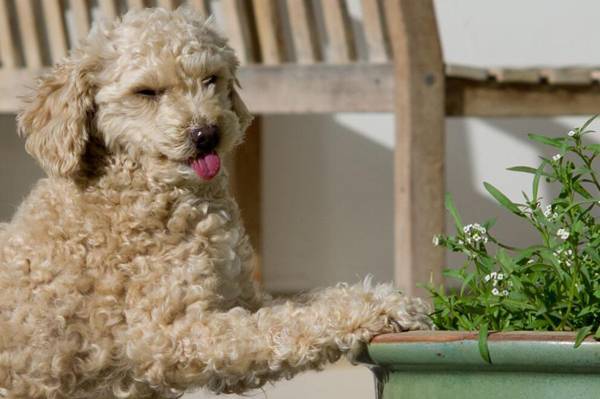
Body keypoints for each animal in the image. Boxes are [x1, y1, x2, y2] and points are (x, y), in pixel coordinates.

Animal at [0, 7, 432, 399]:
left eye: (210, 79)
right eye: (146, 92)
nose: (206, 133)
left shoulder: (244, 297)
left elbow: (305, 305)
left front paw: (385, 298)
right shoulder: (168, 337)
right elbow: (280, 327)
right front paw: (377, 310)